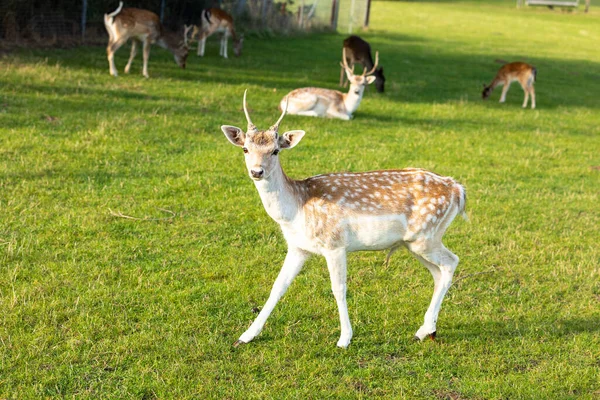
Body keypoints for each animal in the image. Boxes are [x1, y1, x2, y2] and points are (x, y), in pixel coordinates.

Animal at [221, 90, 468, 346]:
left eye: (275, 150)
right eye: (245, 149)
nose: (257, 171)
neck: (296, 210)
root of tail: (458, 189)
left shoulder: (335, 244)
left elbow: (338, 288)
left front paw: (344, 338)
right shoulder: (298, 247)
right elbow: (278, 286)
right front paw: (246, 335)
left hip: (426, 237)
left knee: (451, 262)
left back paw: (427, 328)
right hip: (414, 243)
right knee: (438, 273)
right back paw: (426, 330)